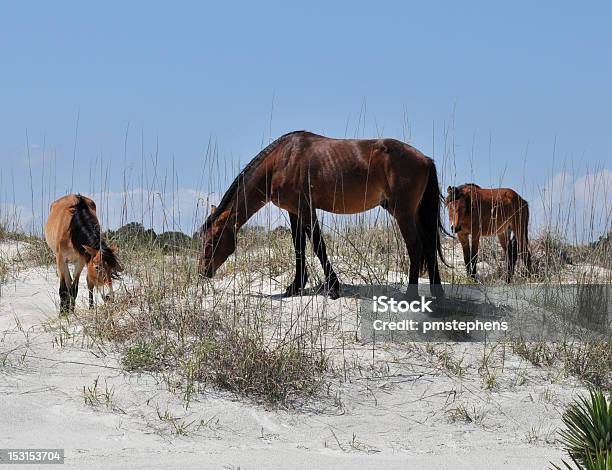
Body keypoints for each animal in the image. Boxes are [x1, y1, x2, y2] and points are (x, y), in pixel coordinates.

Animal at [198, 129, 448, 298]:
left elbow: (318, 246)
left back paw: (410, 296)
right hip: (415, 213)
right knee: (428, 245)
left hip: (403, 212)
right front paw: (295, 286)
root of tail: (425, 159)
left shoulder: (306, 210)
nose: (203, 272)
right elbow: (299, 248)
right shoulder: (294, 212)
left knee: (415, 246)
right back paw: (437, 297)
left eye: (212, 241)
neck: (281, 162)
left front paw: (333, 287)